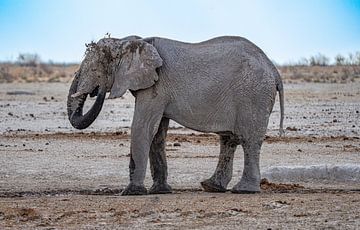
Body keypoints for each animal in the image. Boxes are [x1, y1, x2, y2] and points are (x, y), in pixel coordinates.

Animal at [67, 35, 284, 195]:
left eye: (96, 68)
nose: (99, 89)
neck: (130, 40)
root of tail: (274, 70)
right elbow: (156, 134)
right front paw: (160, 191)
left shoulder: (156, 87)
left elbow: (142, 127)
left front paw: (131, 193)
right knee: (228, 140)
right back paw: (211, 187)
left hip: (253, 95)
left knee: (248, 140)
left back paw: (244, 190)